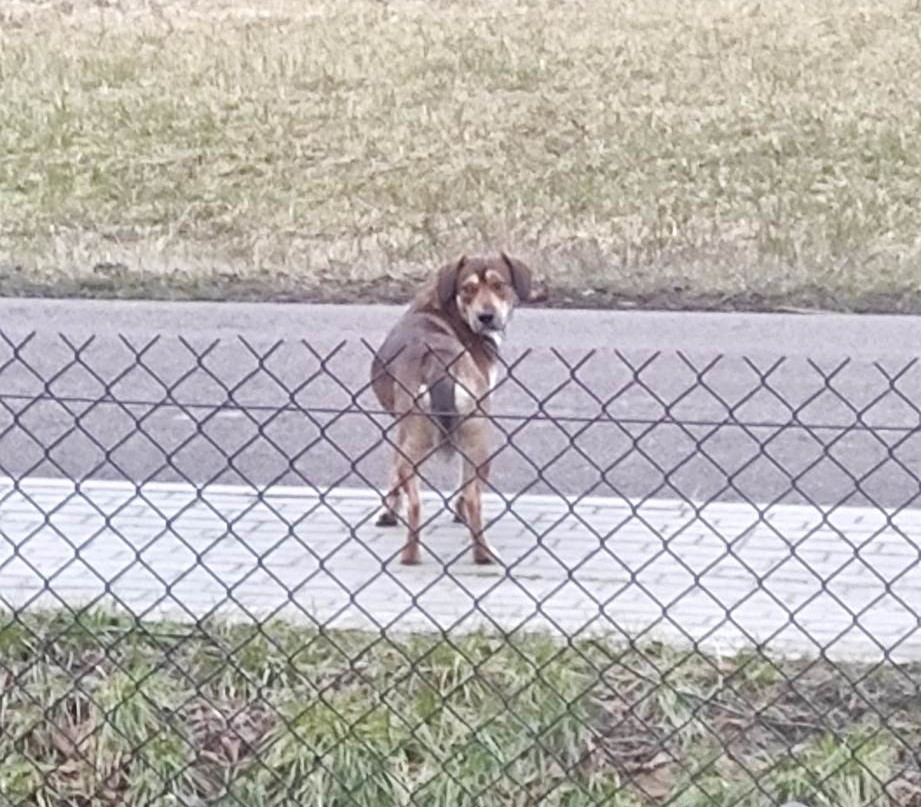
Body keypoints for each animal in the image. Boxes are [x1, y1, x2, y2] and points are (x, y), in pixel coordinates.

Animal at [370, 256, 532, 564]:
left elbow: (393, 471)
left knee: (421, 499)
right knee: (469, 498)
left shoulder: (401, 428)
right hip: (477, 442)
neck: (448, 309)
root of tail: (438, 362)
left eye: (499, 285)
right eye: (468, 288)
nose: (486, 317)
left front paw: (387, 513)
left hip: (423, 438)